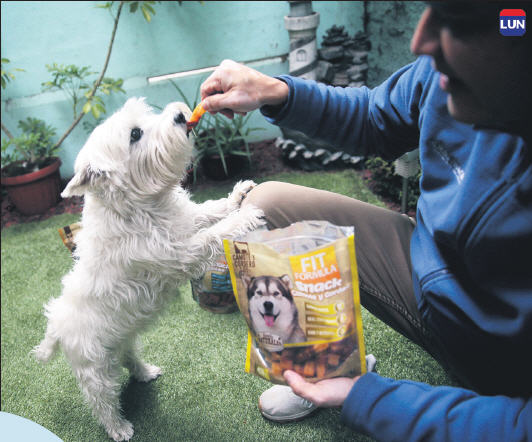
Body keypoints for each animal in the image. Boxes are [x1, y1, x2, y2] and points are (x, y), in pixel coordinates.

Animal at [32, 98, 264, 440]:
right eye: (135, 134)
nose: (181, 115)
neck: (141, 207)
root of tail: (55, 326)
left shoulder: (185, 222)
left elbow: (209, 211)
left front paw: (240, 194)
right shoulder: (181, 253)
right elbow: (212, 234)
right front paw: (247, 214)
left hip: (123, 339)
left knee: (131, 359)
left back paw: (147, 373)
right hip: (97, 370)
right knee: (102, 401)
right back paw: (119, 428)